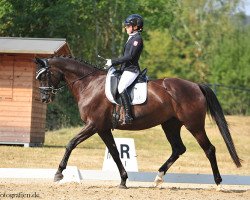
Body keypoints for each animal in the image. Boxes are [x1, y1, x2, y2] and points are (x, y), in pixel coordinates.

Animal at [34, 55, 241, 188]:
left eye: (45, 75)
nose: (44, 99)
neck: (89, 84)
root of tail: (195, 85)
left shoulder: (93, 125)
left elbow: (71, 143)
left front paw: (58, 173)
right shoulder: (102, 128)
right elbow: (115, 153)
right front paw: (123, 180)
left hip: (194, 125)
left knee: (209, 149)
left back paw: (218, 183)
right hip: (170, 124)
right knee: (178, 149)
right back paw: (158, 178)